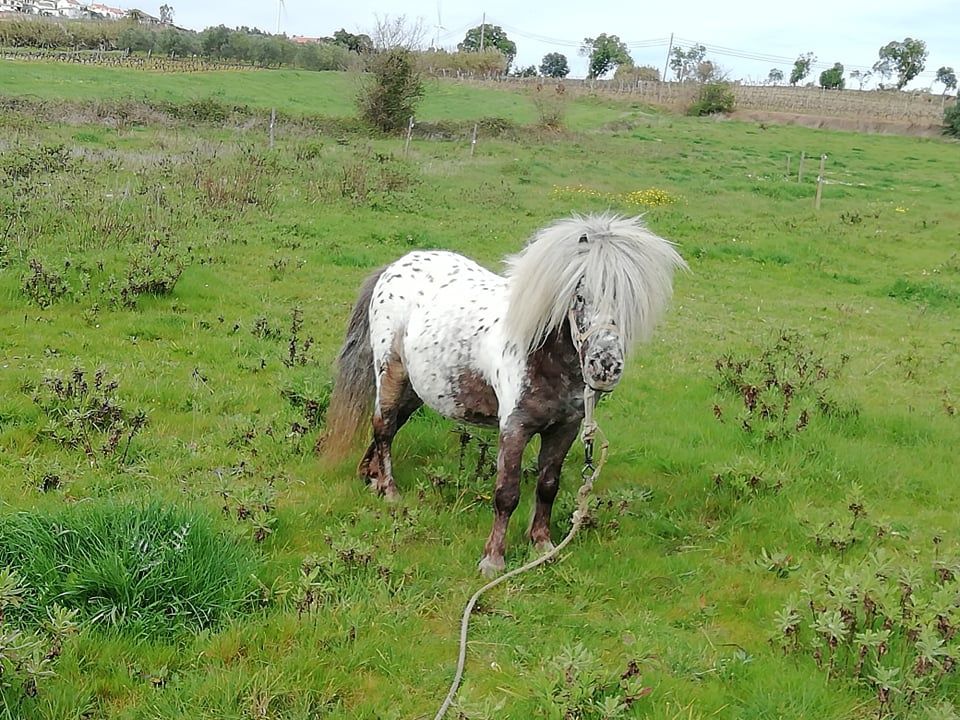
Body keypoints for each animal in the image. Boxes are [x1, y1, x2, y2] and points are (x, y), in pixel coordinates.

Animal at [320, 211, 684, 576]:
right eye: (579, 296)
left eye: (630, 302)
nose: (605, 366)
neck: (542, 354)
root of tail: (394, 266)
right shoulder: (514, 428)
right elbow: (506, 494)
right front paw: (493, 560)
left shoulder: (565, 429)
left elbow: (547, 486)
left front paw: (542, 546)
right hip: (391, 372)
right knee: (383, 426)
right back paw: (390, 490)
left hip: (417, 388)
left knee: (390, 426)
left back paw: (371, 477)